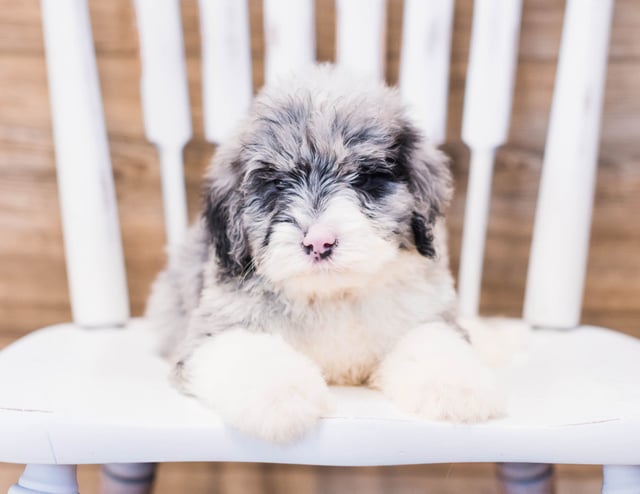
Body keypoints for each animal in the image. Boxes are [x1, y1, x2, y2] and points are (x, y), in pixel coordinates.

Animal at [146, 63, 504, 442]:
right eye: (276, 184)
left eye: (365, 178)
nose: (319, 242)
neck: (333, 296)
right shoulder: (211, 332)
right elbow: (247, 350)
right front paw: (281, 396)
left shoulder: (424, 312)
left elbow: (432, 340)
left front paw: (458, 387)